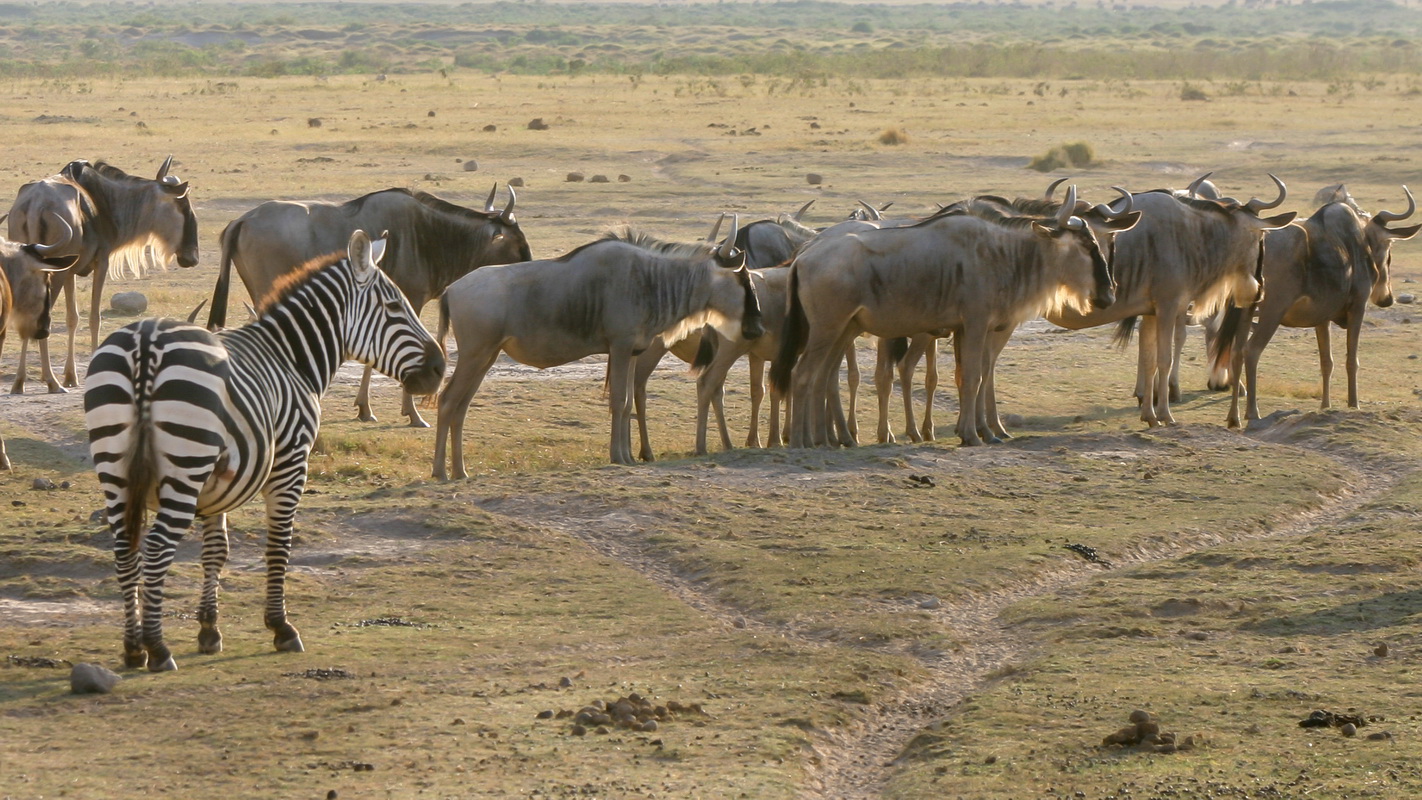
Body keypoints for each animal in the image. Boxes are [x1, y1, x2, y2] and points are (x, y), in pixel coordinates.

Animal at [86, 228, 440, 673]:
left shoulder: (216, 484)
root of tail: (145, 340)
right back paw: (158, 649)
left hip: (116, 467)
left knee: (125, 547)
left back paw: (133, 649)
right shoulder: (292, 463)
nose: (440, 369)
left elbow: (216, 552)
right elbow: (279, 544)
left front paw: (209, 630)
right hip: (184, 467)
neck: (292, 357)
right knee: (155, 549)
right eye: (394, 306)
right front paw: (281, 627)